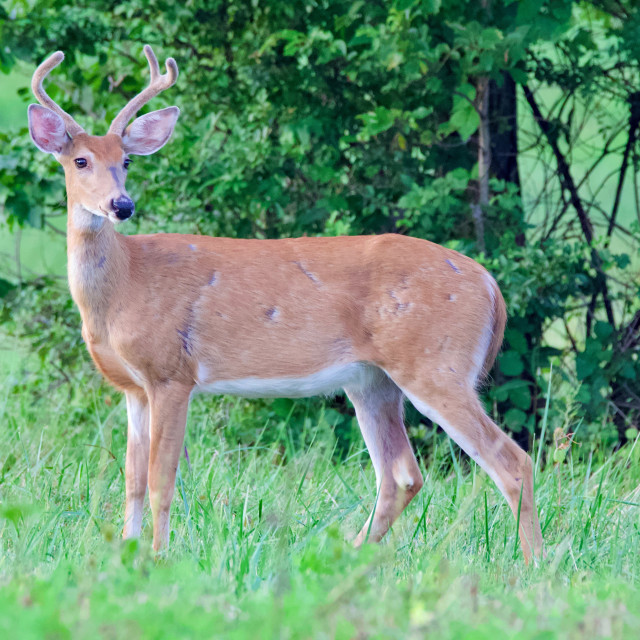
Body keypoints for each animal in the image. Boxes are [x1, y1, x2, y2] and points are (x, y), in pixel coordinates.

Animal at [27, 46, 544, 560]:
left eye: (127, 161)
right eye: (80, 161)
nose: (122, 205)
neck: (124, 286)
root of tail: (489, 284)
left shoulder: (172, 373)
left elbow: (160, 480)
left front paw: (157, 558)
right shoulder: (133, 387)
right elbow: (131, 481)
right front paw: (128, 555)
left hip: (435, 363)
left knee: (511, 460)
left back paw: (533, 563)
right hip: (372, 380)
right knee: (401, 475)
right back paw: (347, 554)